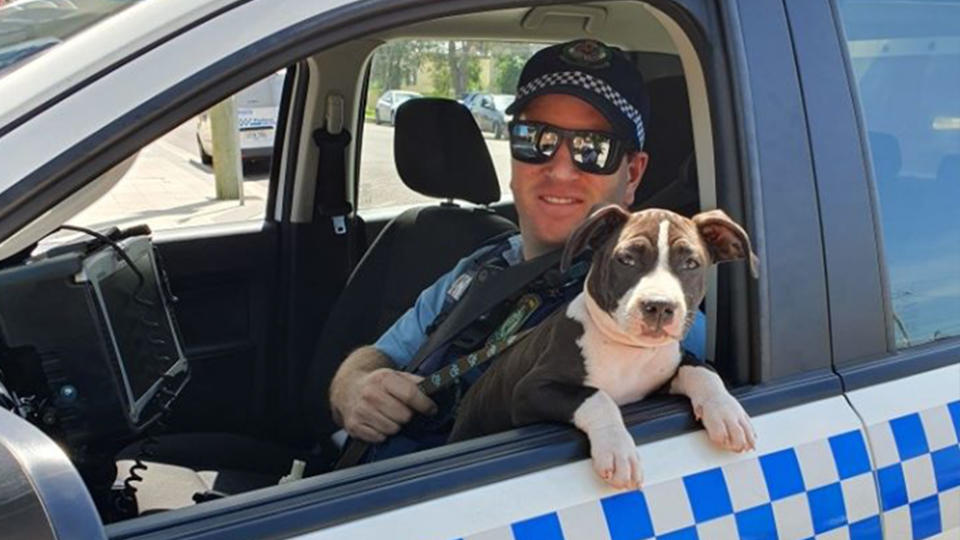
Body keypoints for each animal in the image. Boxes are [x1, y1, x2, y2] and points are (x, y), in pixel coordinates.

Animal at [448, 204, 756, 490]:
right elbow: (597, 397)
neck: (629, 350)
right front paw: (617, 450)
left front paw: (728, 413)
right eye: (627, 259)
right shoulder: (528, 391)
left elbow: (702, 370)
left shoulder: (665, 373)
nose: (659, 306)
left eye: (691, 263)